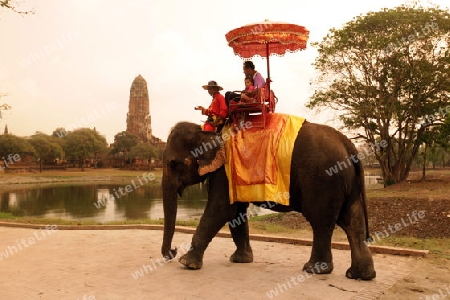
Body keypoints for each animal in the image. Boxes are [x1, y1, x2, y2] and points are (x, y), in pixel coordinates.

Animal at [162, 119, 376, 282]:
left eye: (173, 163)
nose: (173, 251)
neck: (207, 130)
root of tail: (348, 145)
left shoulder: (225, 170)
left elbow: (221, 209)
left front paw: (186, 263)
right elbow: (236, 212)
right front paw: (241, 260)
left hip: (324, 179)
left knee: (321, 222)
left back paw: (314, 269)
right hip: (345, 182)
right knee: (353, 222)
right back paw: (359, 275)